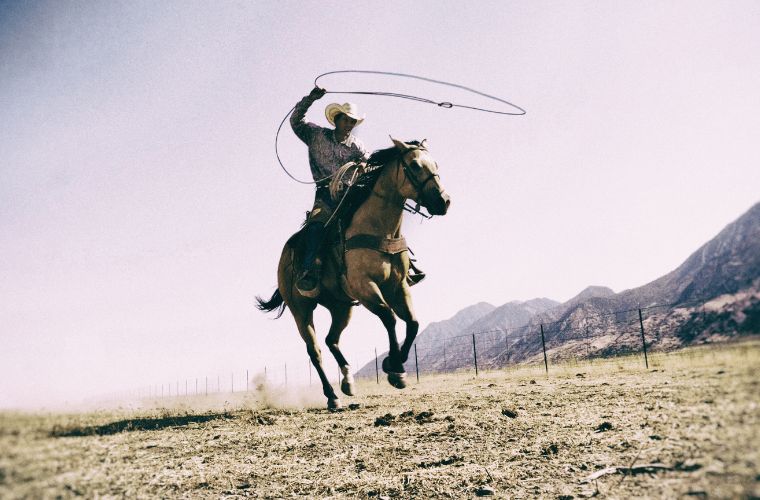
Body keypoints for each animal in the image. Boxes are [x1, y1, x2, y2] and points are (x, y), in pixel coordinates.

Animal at [260, 138, 452, 410]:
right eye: (414, 165)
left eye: (435, 164)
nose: (443, 201)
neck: (377, 228)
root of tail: (285, 257)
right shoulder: (365, 287)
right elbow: (390, 317)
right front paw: (394, 369)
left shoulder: (399, 286)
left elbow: (413, 322)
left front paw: (396, 366)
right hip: (301, 310)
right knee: (315, 350)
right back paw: (332, 396)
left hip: (341, 307)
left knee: (331, 340)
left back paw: (348, 381)